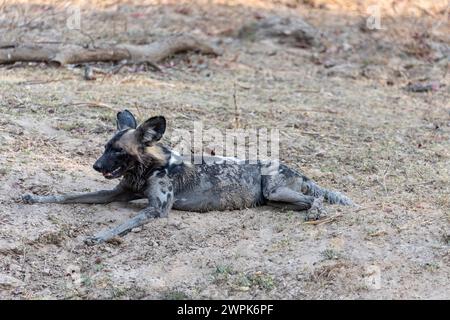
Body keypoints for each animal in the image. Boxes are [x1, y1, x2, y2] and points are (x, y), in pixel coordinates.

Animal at [22, 110, 354, 245]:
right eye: (105, 147)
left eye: (118, 150)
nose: (95, 166)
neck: (146, 169)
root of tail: (297, 170)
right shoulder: (113, 193)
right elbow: (67, 196)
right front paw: (35, 197)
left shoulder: (156, 209)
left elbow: (122, 225)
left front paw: (101, 236)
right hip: (276, 198)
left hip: (277, 192)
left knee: (315, 200)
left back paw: (315, 214)